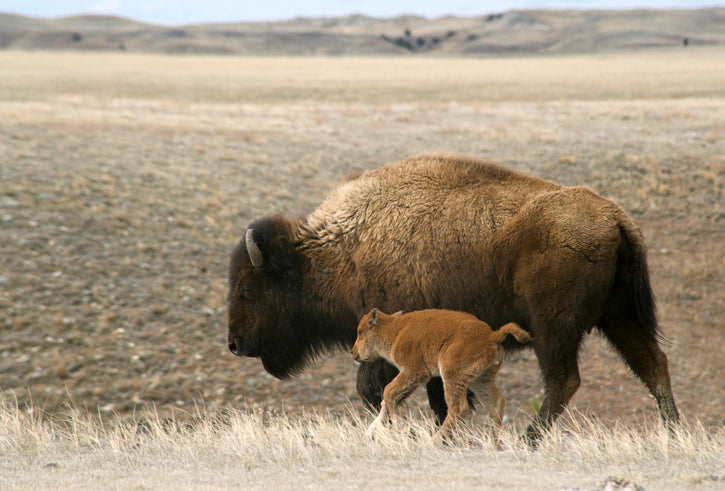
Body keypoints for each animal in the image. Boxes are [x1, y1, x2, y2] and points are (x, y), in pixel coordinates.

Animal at [226, 154, 680, 442]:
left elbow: (378, 389)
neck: (344, 249)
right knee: (653, 364)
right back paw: (673, 435)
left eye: (248, 287)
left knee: (563, 379)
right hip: (619, 316)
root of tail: (615, 218)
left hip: (555, 327)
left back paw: (528, 439)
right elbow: (429, 394)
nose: (235, 343)